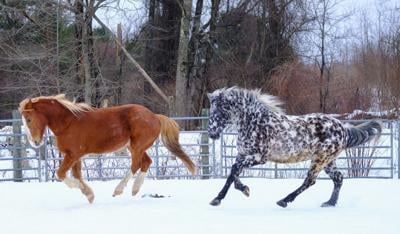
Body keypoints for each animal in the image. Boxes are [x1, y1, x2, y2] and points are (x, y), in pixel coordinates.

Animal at [18, 94, 197, 203]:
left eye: (29, 119)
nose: (35, 142)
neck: (67, 122)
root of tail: (155, 117)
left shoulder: (72, 154)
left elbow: (61, 174)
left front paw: (82, 190)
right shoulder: (75, 156)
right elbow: (77, 175)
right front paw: (89, 194)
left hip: (136, 147)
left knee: (136, 165)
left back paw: (118, 190)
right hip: (136, 147)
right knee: (147, 162)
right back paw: (135, 189)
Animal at [208, 87, 380, 207]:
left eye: (220, 110)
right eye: (210, 111)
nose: (212, 133)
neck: (254, 122)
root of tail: (343, 128)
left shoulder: (258, 157)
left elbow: (234, 170)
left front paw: (242, 190)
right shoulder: (242, 154)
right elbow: (233, 173)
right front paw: (219, 198)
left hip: (319, 160)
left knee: (310, 181)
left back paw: (284, 200)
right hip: (328, 161)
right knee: (338, 178)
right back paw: (329, 203)